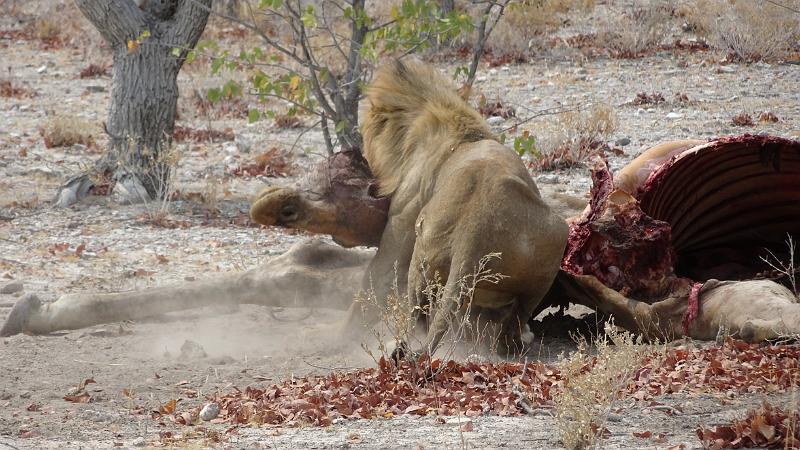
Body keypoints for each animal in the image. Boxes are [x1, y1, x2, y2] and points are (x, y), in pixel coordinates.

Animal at [354, 60, 568, 356]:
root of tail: (475, 229)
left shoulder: (402, 217)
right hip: (553, 240)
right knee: (509, 320)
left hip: (422, 250)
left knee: (419, 317)